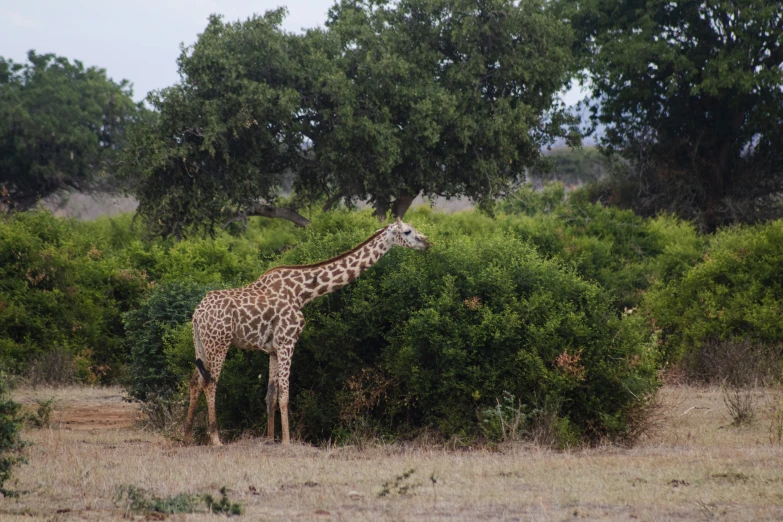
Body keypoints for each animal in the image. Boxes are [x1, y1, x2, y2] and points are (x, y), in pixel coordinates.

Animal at [182, 215, 428, 442]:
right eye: (407, 231)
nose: (426, 241)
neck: (303, 293)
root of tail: (197, 314)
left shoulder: (272, 349)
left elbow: (271, 394)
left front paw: (270, 439)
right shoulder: (287, 341)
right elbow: (285, 394)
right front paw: (287, 442)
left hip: (202, 344)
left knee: (195, 382)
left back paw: (187, 437)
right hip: (219, 343)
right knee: (210, 383)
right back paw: (215, 440)